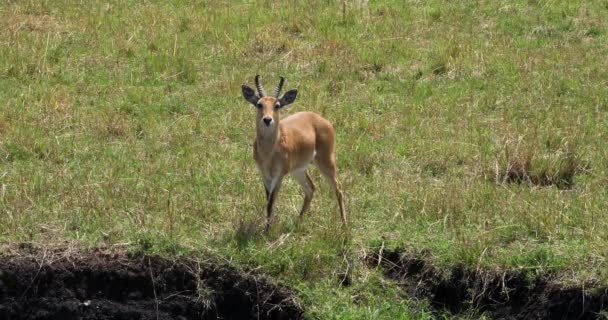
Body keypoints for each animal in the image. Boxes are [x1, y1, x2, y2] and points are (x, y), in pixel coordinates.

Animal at [241, 75, 346, 230]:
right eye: (259, 104)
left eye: (277, 105)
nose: (267, 120)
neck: (268, 154)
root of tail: (321, 119)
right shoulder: (264, 174)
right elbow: (268, 200)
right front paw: (267, 227)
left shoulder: (279, 175)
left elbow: (271, 201)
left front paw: (267, 231)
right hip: (299, 169)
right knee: (311, 188)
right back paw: (298, 222)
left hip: (326, 161)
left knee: (338, 188)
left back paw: (344, 226)